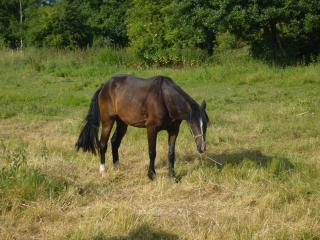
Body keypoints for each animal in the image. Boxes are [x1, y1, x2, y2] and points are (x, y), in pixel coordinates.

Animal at [76, 74, 209, 179]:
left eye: (206, 124)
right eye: (193, 124)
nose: (202, 147)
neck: (164, 98)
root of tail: (104, 86)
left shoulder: (173, 130)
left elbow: (171, 153)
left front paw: (172, 175)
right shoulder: (151, 129)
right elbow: (152, 152)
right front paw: (152, 174)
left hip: (122, 122)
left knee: (114, 141)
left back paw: (117, 167)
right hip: (107, 121)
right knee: (103, 144)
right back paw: (103, 171)